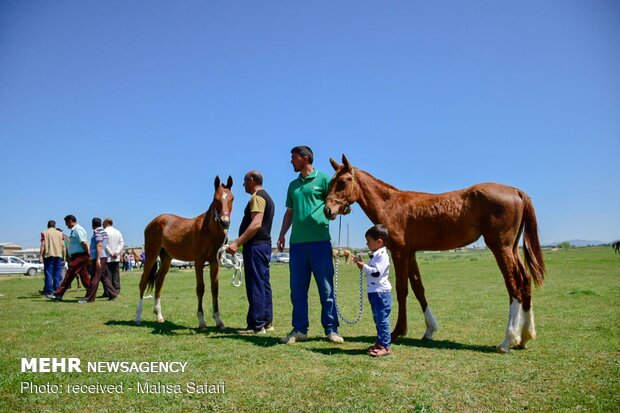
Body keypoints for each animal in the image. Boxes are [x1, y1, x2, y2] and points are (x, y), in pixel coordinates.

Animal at [134, 175, 234, 330]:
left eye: (232, 198)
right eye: (215, 198)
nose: (225, 222)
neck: (208, 231)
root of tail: (153, 222)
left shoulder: (214, 262)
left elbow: (215, 289)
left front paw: (218, 320)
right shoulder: (199, 261)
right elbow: (200, 288)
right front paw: (202, 321)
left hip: (166, 258)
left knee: (159, 282)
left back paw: (159, 316)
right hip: (151, 255)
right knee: (143, 282)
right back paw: (138, 317)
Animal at [322, 154, 544, 350]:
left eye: (342, 182)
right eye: (331, 182)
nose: (328, 211)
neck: (391, 205)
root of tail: (516, 191)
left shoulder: (399, 252)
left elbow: (402, 290)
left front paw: (398, 331)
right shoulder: (411, 253)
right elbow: (419, 288)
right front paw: (429, 330)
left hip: (500, 247)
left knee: (514, 285)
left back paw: (508, 340)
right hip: (512, 248)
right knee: (525, 281)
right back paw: (525, 337)